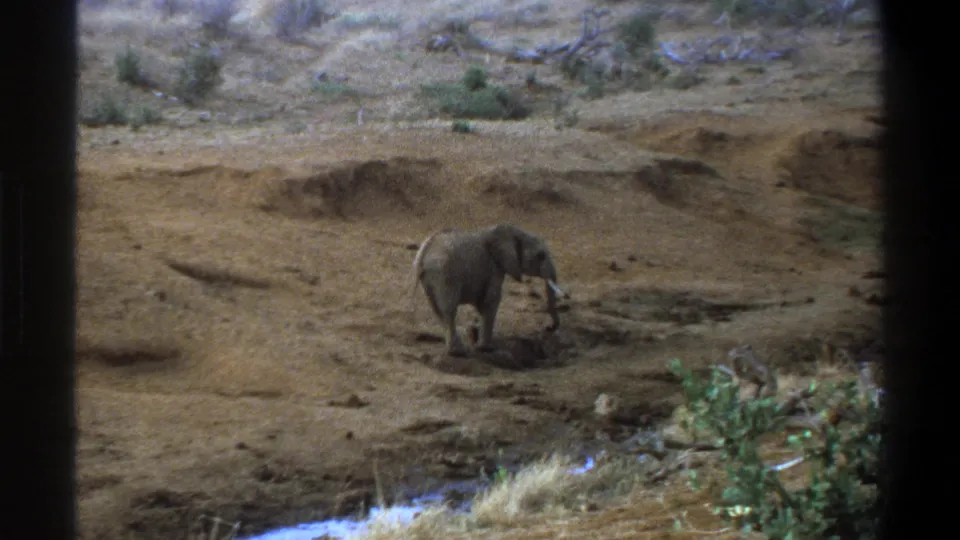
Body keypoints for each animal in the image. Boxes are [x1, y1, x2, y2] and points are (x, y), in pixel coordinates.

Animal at [411, 223, 566, 357]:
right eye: (541, 256)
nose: (549, 327)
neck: (513, 231)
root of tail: (424, 254)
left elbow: (482, 303)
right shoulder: (494, 268)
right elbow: (491, 300)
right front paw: (487, 348)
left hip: (431, 279)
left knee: (437, 310)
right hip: (445, 274)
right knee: (449, 310)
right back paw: (457, 352)